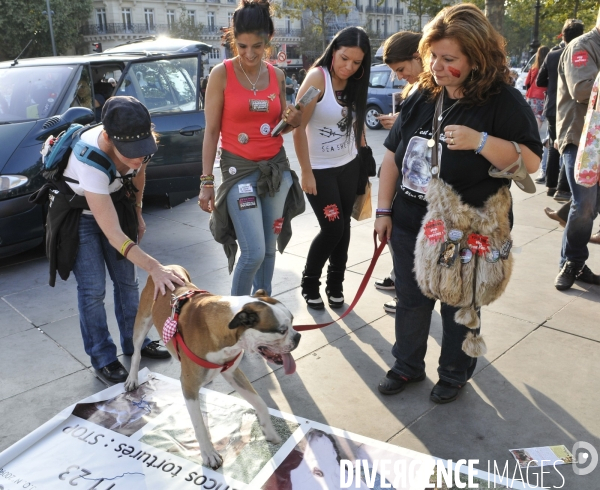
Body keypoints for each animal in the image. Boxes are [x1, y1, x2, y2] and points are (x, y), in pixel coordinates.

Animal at [123, 266, 300, 468]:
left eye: (293, 321)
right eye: (282, 331)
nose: (298, 336)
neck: (226, 329)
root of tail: (167, 267)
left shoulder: (233, 373)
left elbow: (260, 403)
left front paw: (268, 430)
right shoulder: (189, 386)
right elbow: (199, 424)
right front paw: (208, 453)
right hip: (142, 322)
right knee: (136, 353)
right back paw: (132, 378)